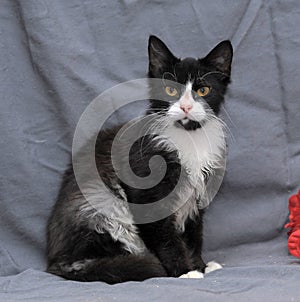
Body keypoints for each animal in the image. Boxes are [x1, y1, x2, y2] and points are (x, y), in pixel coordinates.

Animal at [47, 35, 233, 284]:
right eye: (170, 90)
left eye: (203, 90)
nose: (186, 106)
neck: (188, 137)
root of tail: (54, 261)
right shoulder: (147, 194)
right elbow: (166, 238)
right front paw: (185, 271)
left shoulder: (197, 198)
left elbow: (194, 235)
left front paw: (201, 266)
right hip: (101, 204)